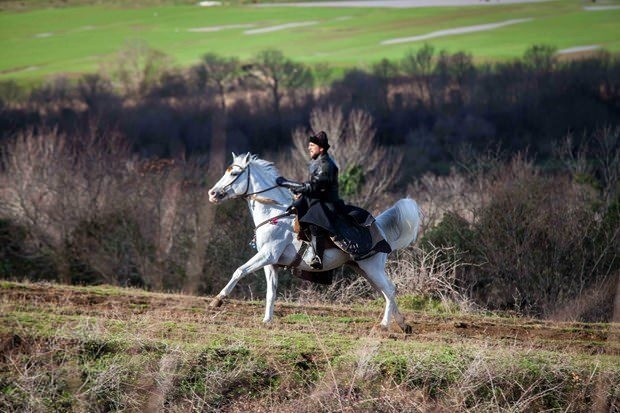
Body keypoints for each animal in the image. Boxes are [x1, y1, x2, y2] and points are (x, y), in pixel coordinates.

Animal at [208, 153, 422, 330]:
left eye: (234, 173)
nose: (212, 193)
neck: (274, 213)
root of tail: (379, 228)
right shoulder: (270, 263)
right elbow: (271, 292)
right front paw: (267, 320)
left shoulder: (267, 255)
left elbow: (239, 271)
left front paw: (217, 300)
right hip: (364, 269)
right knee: (386, 292)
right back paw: (403, 325)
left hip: (371, 267)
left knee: (389, 290)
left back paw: (385, 325)